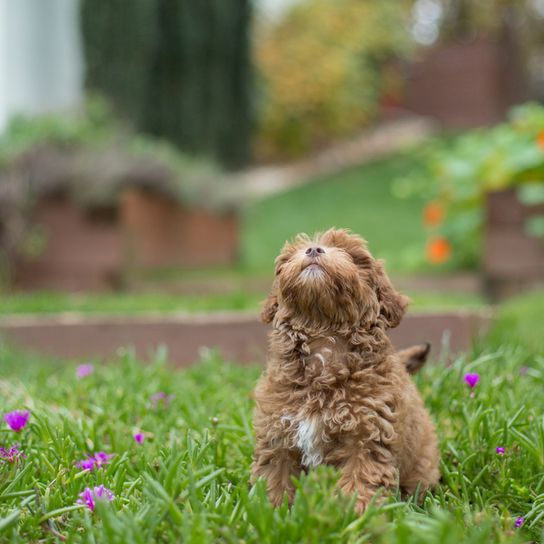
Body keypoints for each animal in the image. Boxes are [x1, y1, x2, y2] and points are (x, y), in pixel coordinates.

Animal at [253, 227, 440, 512]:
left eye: (351, 255)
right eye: (288, 257)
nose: (313, 249)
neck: (324, 341)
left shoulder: (366, 435)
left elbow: (360, 478)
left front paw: (356, 514)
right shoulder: (277, 433)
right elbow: (275, 476)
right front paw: (269, 511)